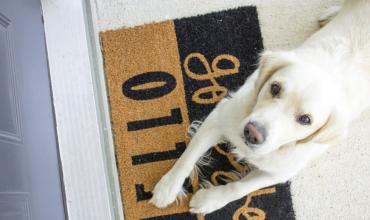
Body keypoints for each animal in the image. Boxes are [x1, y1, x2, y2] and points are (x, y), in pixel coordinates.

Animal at [149, 0, 368, 213]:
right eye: (275, 87)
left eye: (306, 119)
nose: (252, 133)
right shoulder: (221, 116)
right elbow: (188, 156)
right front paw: (168, 186)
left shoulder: (281, 171)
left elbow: (240, 187)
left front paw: (211, 199)